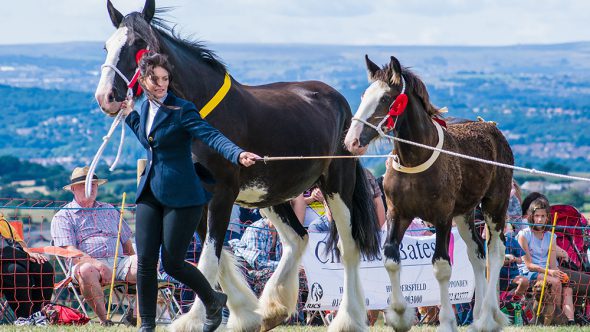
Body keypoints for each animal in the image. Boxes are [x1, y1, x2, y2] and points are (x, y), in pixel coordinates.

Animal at [92, 1, 380, 330]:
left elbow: (208, 258)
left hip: (337, 186)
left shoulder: (221, 194)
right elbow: (216, 258)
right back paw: (273, 309)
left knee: (348, 248)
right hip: (272, 195)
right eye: (107, 46)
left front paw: (194, 320)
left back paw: (350, 319)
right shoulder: (199, 200)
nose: (106, 97)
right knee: (297, 239)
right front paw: (243, 314)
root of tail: (339, 101)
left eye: (139, 44)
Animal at [344, 55, 516, 332]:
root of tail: (492, 128)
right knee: (476, 253)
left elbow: (442, 266)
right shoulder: (398, 214)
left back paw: (489, 317)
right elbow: (391, 258)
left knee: (495, 252)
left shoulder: (442, 217)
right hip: (465, 213)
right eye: (363, 95)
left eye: (385, 99)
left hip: (494, 204)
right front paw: (400, 315)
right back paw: (477, 315)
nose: (352, 141)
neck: (416, 158)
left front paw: (446, 322)